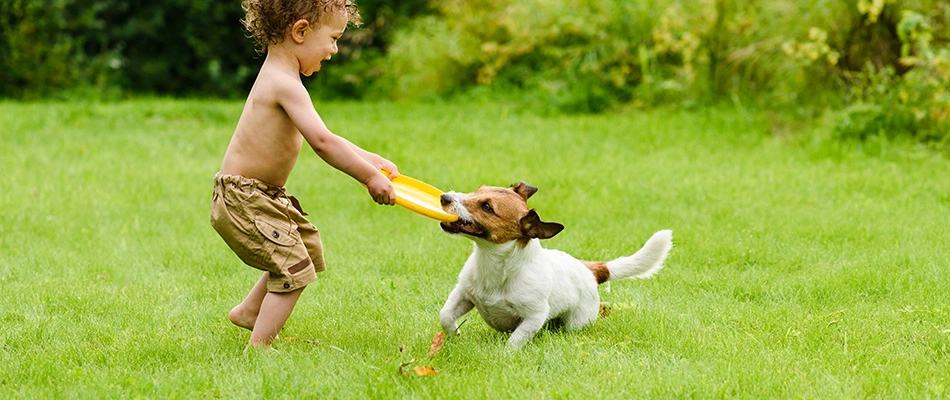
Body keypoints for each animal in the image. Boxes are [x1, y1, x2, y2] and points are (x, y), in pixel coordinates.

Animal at [440, 183, 672, 348]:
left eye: (487, 207)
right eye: (477, 190)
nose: (444, 197)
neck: (494, 265)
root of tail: (588, 268)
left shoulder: (534, 316)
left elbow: (515, 340)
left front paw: (505, 356)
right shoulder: (463, 294)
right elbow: (445, 315)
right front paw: (455, 335)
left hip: (577, 322)